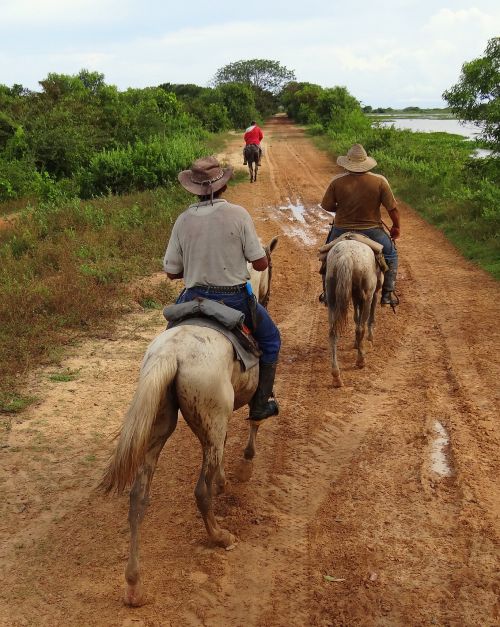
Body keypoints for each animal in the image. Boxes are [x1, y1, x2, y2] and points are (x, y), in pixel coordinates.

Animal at [99, 237, 280, 608]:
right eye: (268, 265)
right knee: (199, 491)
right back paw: (220, 537)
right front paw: (244, 468)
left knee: (138, 498)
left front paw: (224, 479)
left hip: (160, 425)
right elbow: (254, 422)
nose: (268, 297)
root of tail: (174, 353)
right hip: (205, 418)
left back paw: (134, 585)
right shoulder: (241, 405)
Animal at [324, 239, 382, 388]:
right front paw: (369, 339)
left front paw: (356, 344)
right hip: (367, 295)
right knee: (360, 329)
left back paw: (336, 376)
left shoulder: (356, 297)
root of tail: (346, 256)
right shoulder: (372, 294)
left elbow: (356, 317)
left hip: (332, 299)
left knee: (333, 333)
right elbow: (368, 318)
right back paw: (361, 360)